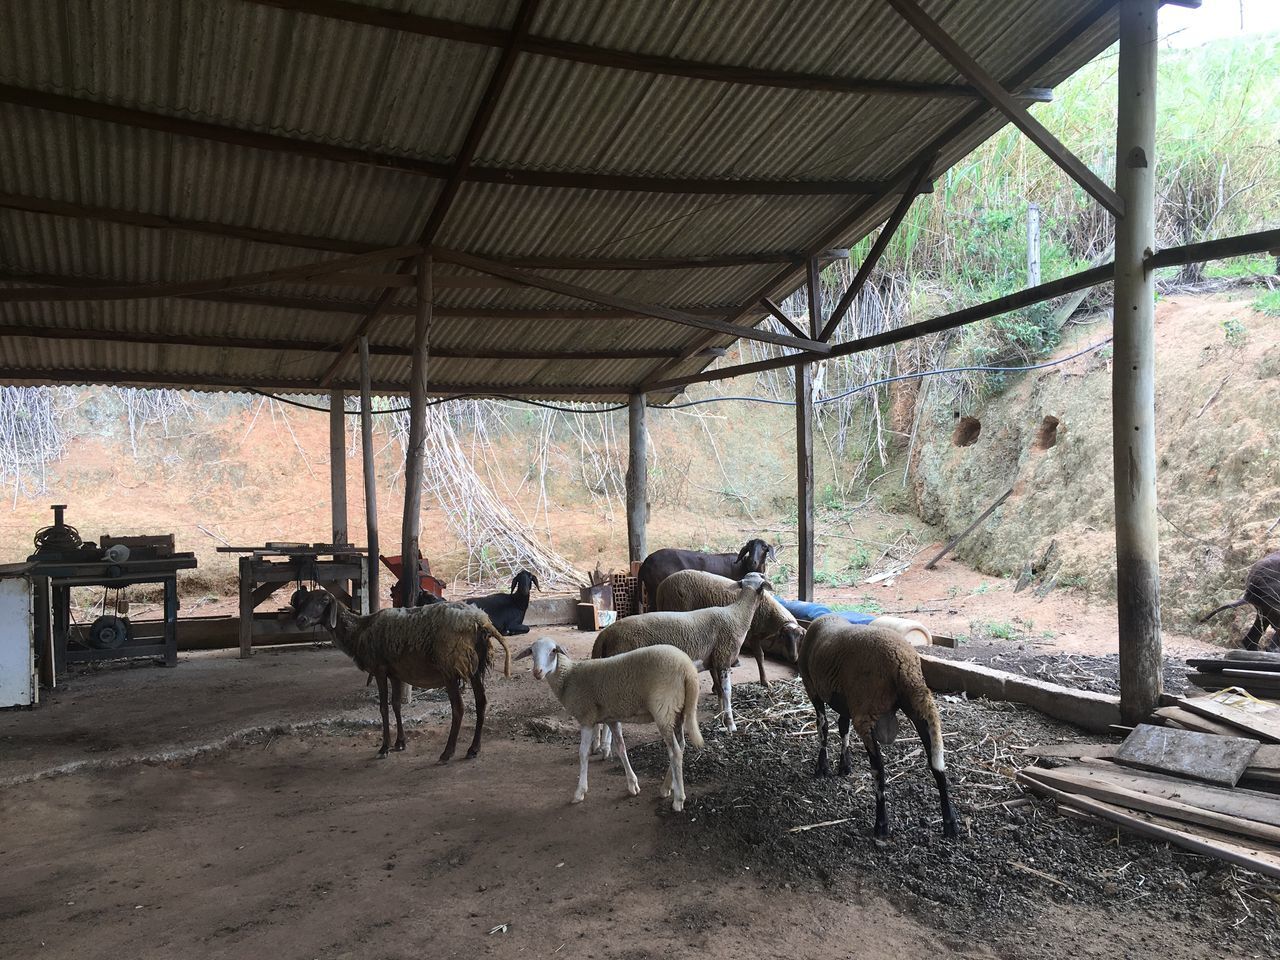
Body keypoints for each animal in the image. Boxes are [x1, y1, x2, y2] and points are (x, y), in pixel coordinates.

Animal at [514, 640, 706, 814]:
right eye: (532, 652)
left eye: (553, 650)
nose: (537, 672)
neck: (568, 678)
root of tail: (688, 670)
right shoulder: (612, 719)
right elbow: (621, 748)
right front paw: (632, 785)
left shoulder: (586, 717)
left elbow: (583, 754)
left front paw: (580, 792)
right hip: (677, 712)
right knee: (681, 746)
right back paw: (666, 788)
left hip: (664, 709)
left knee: (675, 752)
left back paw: (678, 799)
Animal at [588, 576, 768, 747]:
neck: (737, 615)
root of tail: (604, 636)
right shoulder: (724, 657)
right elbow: (727, 691)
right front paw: (731, 724)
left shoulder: (714, 660)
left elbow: (719, 690)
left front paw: (721, 716)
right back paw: (607, 745)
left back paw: (598, 744)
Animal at [637, 537, 773, 611]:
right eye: (749, 547)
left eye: (764, 547)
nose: (752, 562)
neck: (743, 566)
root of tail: (645, 563)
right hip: (656, 588)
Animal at [655, 570, 803, 686]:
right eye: (784, 636)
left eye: (800, 637)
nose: (794, 658)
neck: (771, 613)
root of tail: (662, 587)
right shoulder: (753, 635)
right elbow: (760, 657)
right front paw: (765, 681)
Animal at [793, 619, 957, 839]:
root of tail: (903, 663)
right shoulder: (846, 702)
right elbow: (842, 728)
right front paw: (844, 765)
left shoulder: (813, 688)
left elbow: (823, 728)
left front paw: (823, 767)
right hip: (917, 705)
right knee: (936, 764)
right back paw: (950, 824)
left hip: (864, 711)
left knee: (878, 767)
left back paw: (881, 824)